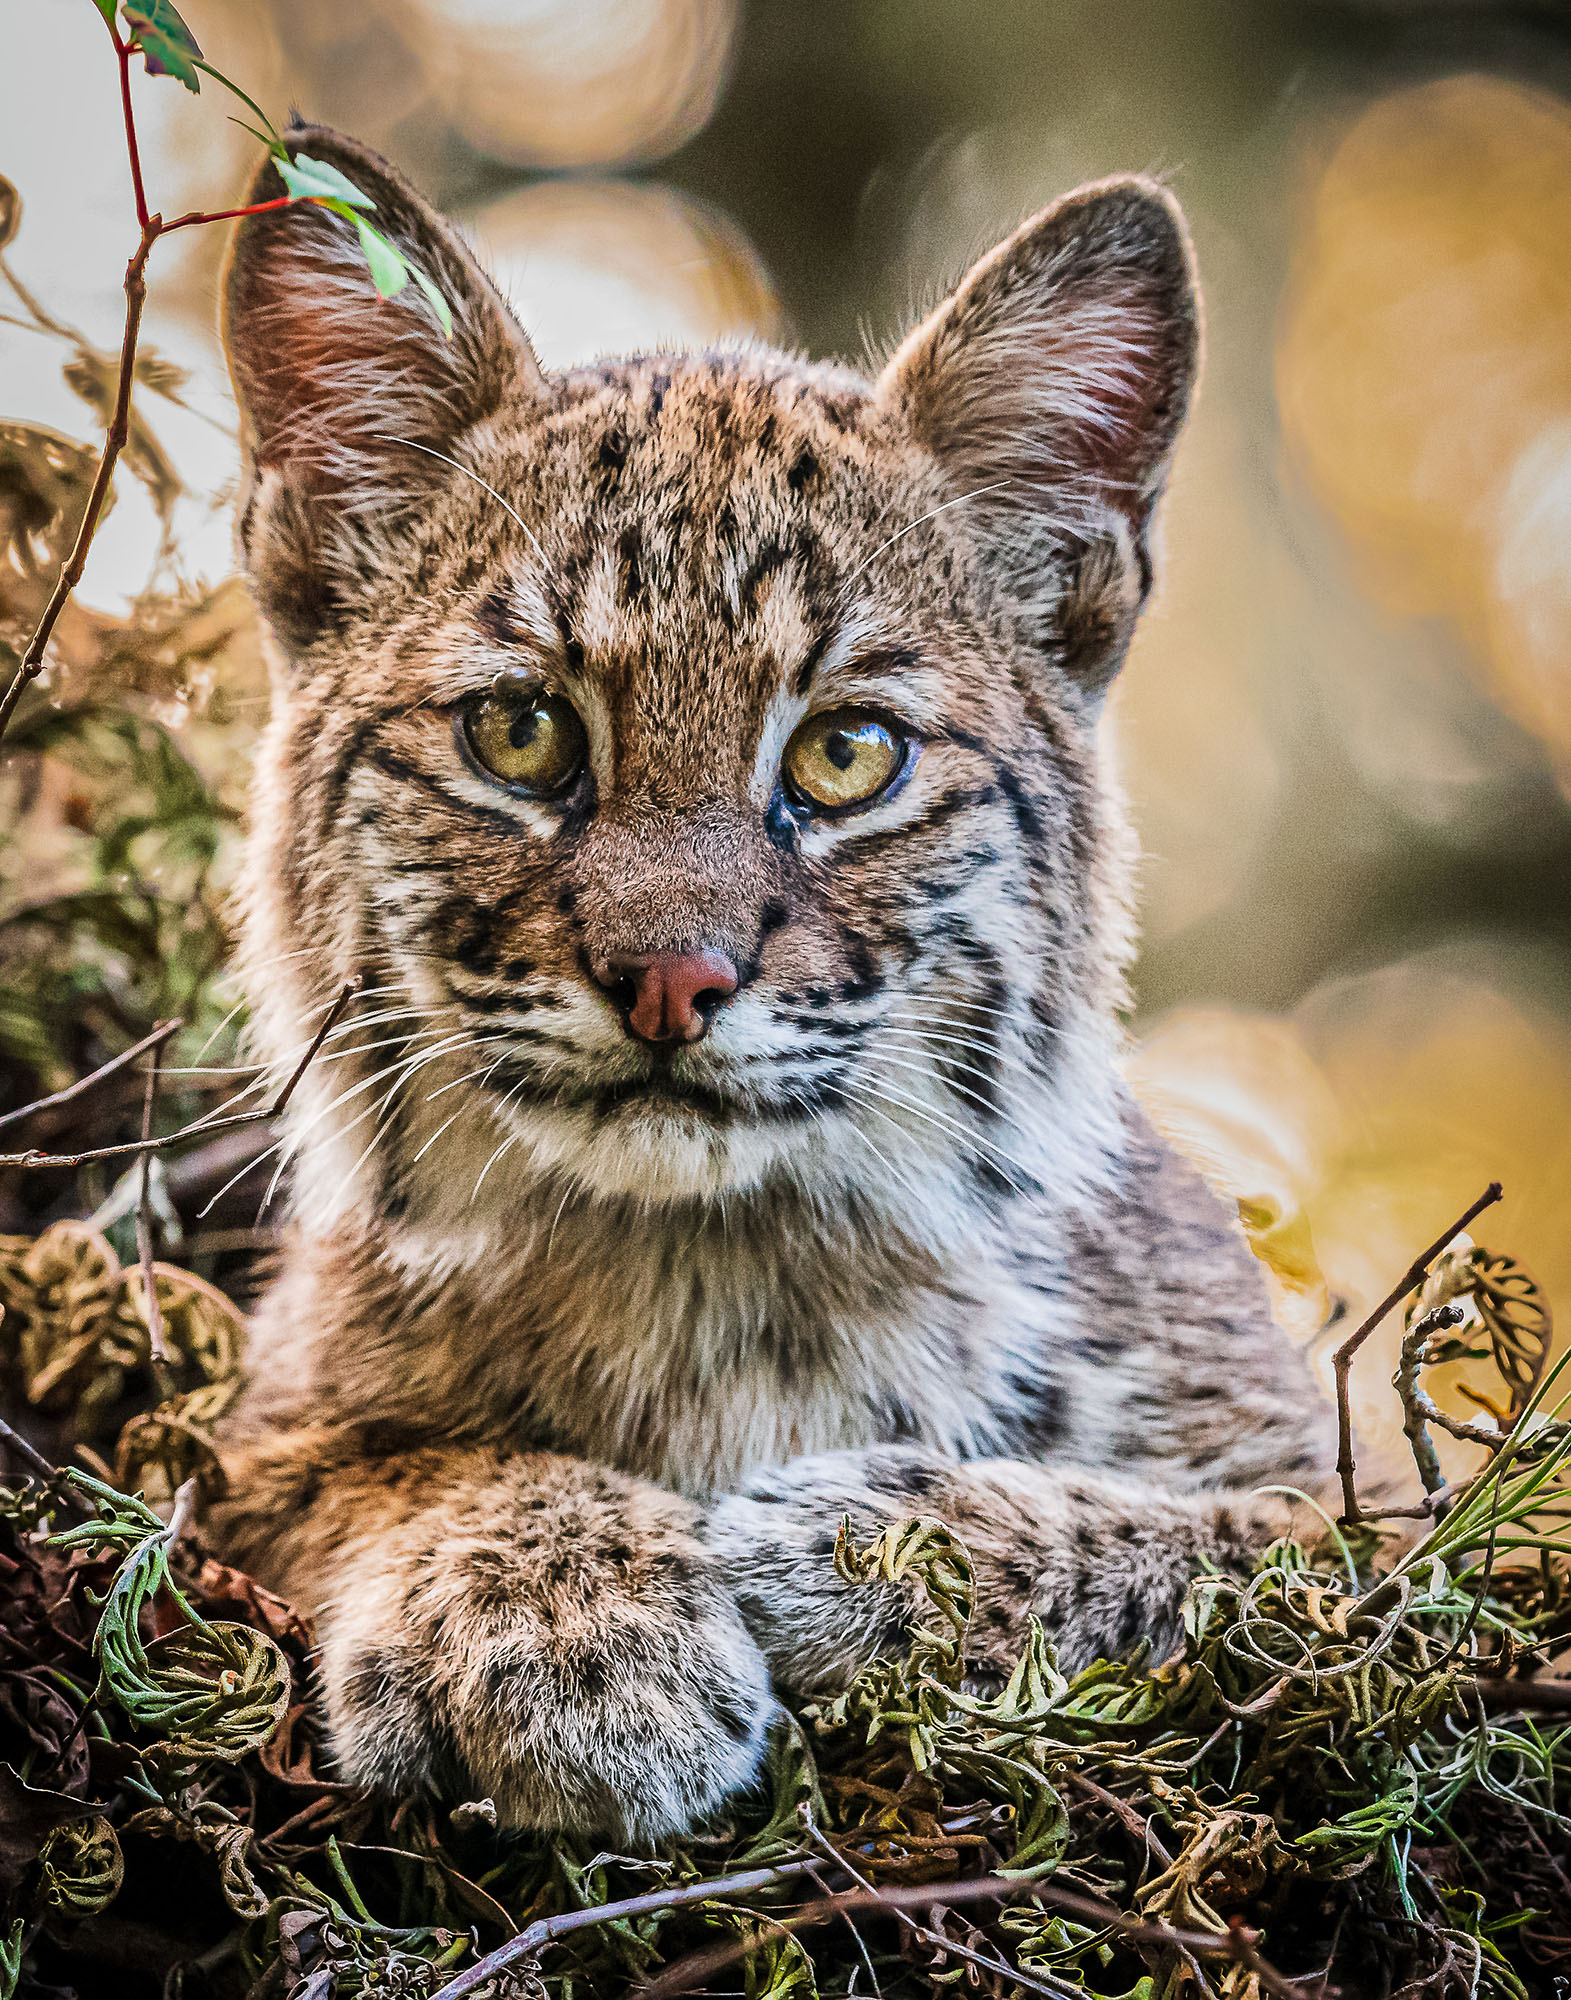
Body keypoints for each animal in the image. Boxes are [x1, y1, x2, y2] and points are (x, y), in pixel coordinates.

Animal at [213, 125, 1327, 1840]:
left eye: (846, 754)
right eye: (519, 734)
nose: (671, 979)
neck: (708, 1268)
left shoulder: (1396, 1520)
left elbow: (1218, 1550)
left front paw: (858, 1553)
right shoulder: (235, 1447)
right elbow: (391, 1461)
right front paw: (567, 1628)